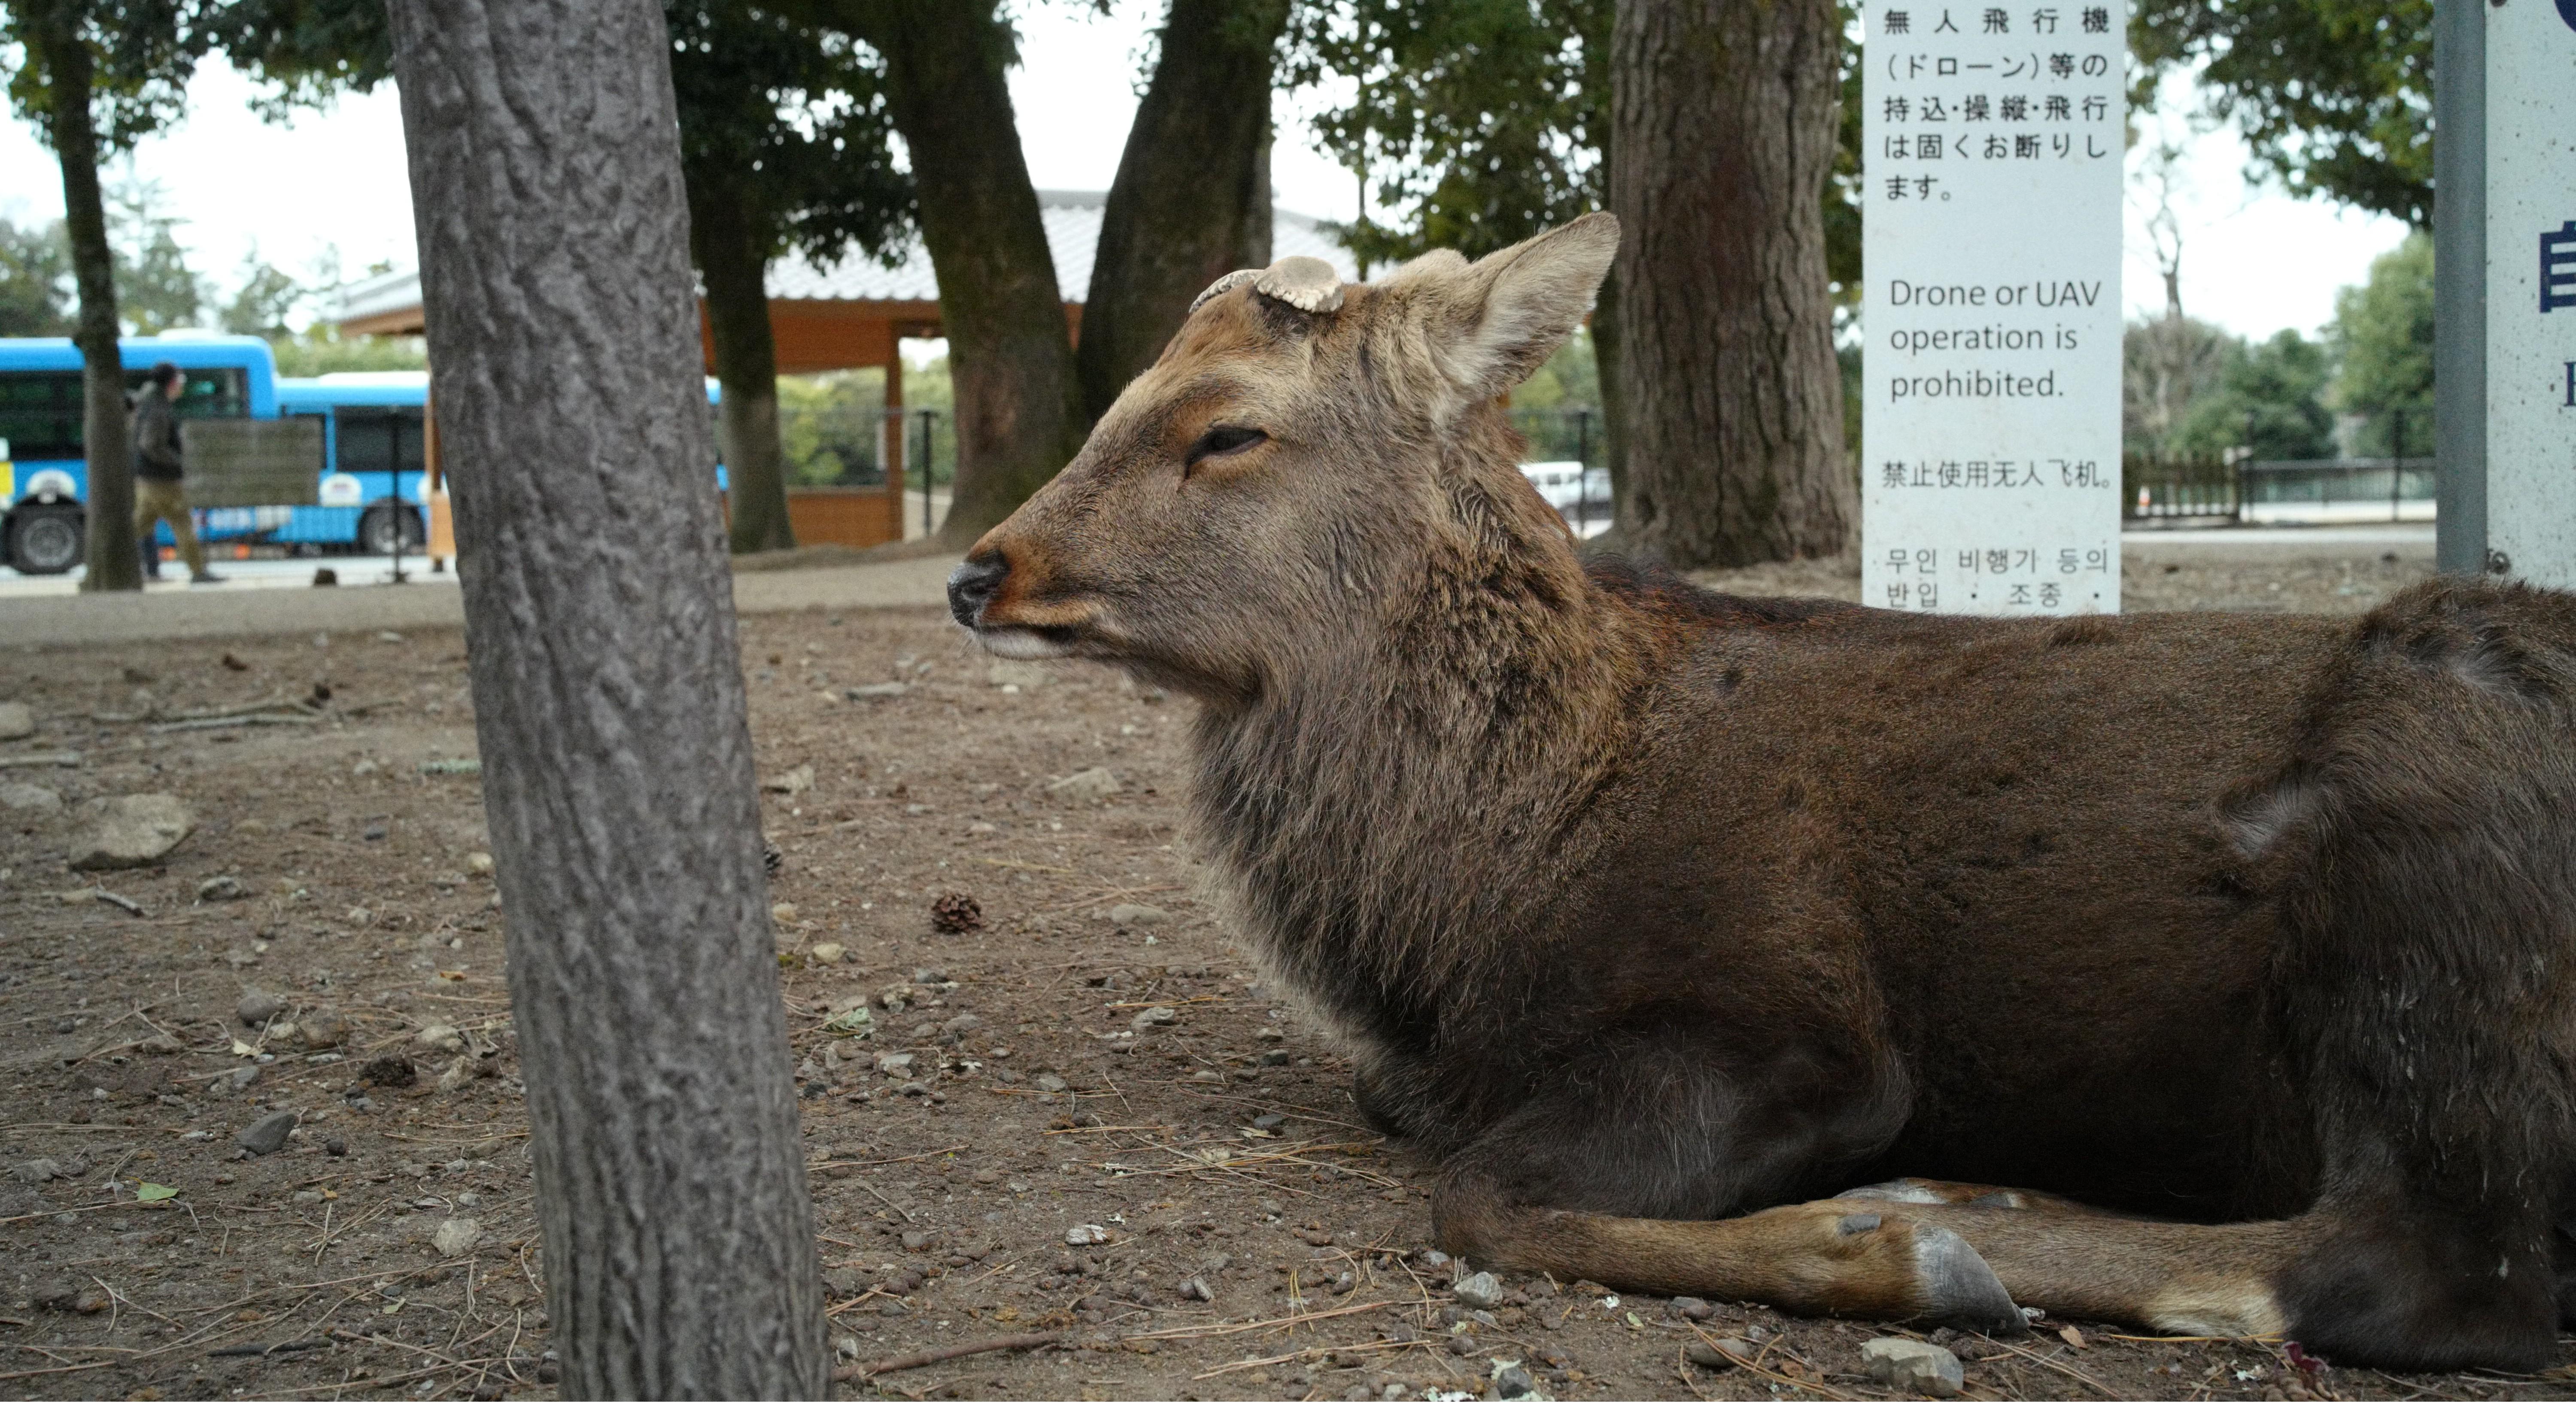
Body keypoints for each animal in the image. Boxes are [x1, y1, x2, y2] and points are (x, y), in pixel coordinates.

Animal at [944, 213, 2576, 1372]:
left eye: (1226, 426)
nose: (977, 570)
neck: (1483, 888)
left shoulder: (1785, 1017)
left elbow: (1479, 1193)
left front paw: (1890, 1243)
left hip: (2431, 880)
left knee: (2422, 1271)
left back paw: (1951, 1224)